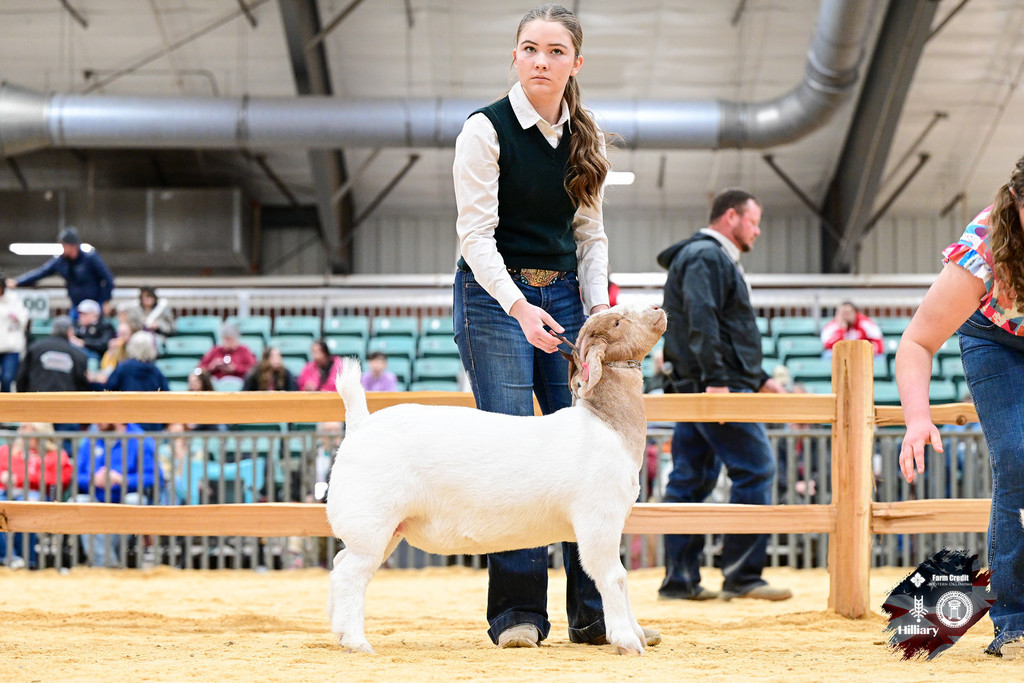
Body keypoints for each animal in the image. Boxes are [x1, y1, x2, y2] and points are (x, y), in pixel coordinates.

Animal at [325, 302, 667, 655]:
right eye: (618, 322)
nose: (658, 308)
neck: (606, 423)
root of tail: (360, 425)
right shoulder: (599, 520)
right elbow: (615, 577)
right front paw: (627, 640)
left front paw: (637, 633)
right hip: (370, 521)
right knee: (350, 574)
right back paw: (356, 642)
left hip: (385, 528)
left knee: (340, 564)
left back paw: (340, 632)